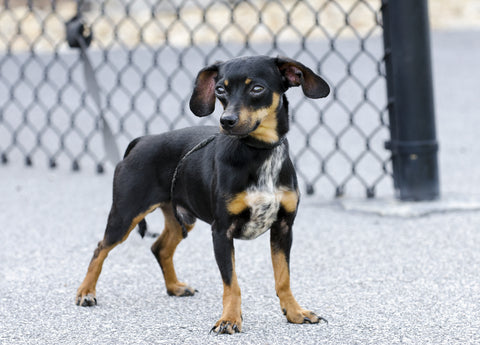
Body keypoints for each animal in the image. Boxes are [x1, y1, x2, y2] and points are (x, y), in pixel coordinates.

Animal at [76, 56, 330, 334]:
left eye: (257, 88)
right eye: (220, 89)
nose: (226, 121)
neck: (257, 152)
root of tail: (142, 141)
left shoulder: (283, 227)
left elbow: (283, 278)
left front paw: (295, 313)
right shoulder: (221, 231)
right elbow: (232, 284)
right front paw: (229, 319)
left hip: (180, 219)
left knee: (159, 248)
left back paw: (174, 287)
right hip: (125, 214)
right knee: (100, 248)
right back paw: (86, 292)